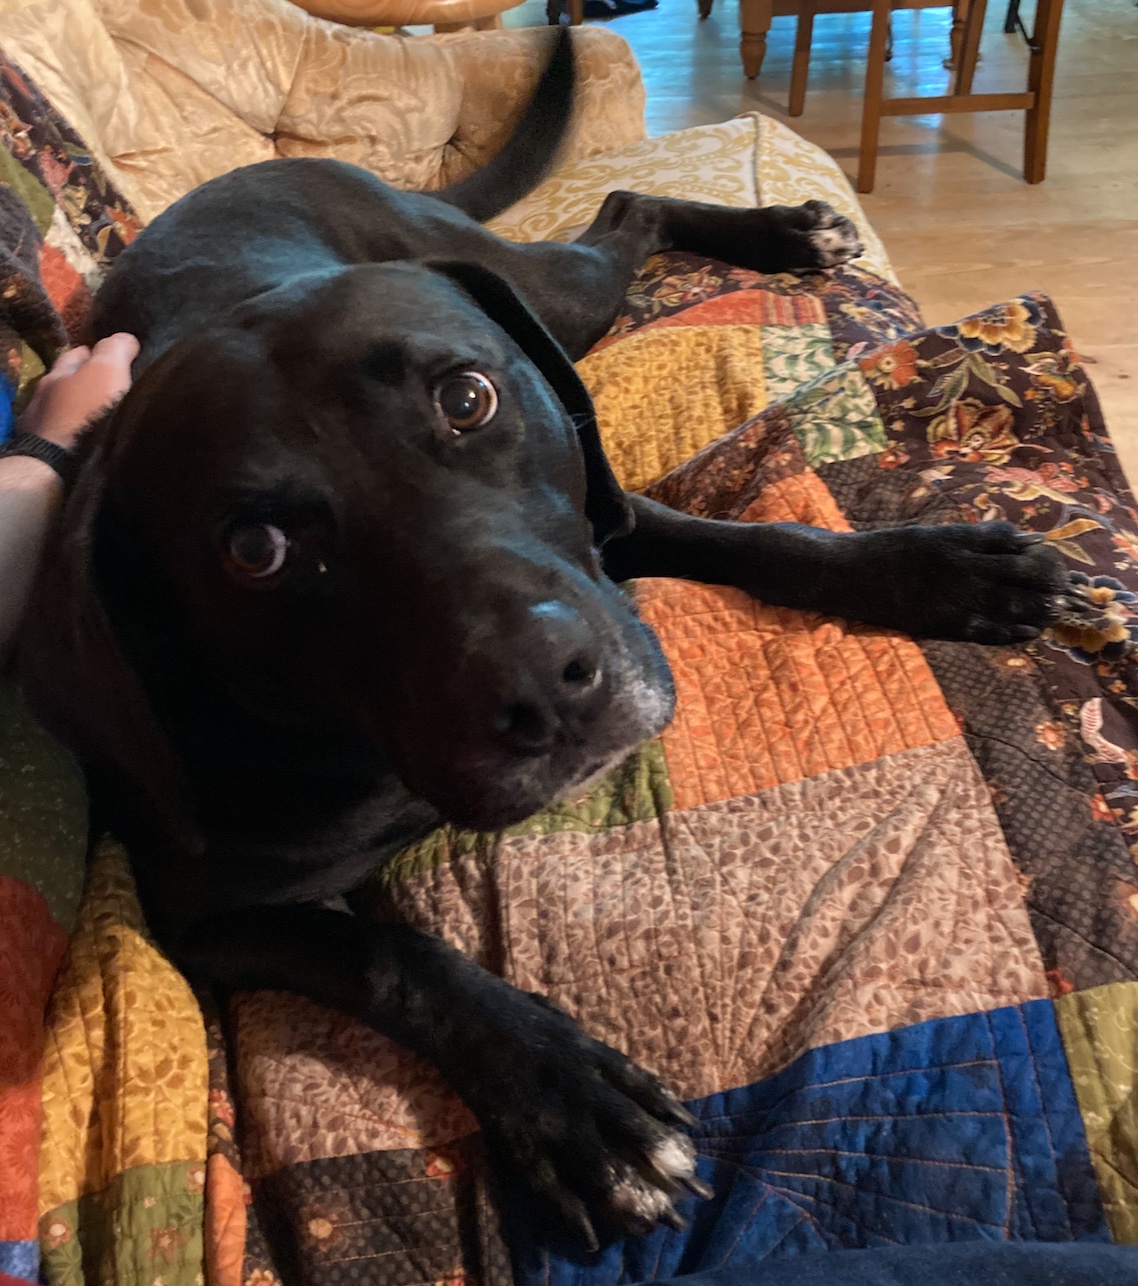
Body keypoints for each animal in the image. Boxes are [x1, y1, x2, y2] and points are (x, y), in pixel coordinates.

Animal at [17, 27, 1064, 1255]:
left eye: (468, 396)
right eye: (255, 550)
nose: (550, 691)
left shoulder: (604, 521)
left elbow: (770, 538)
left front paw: (940, 570)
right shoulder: (208, 916)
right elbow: (393, 955)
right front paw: (571, 1101)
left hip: (552, 303)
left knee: (622, 211)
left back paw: (784, 233)